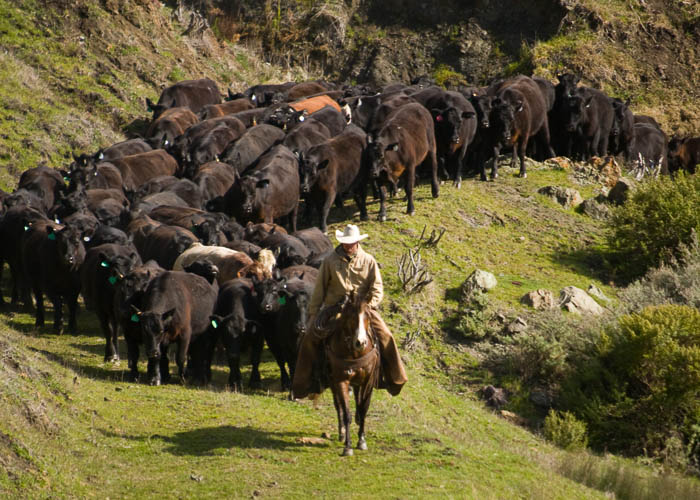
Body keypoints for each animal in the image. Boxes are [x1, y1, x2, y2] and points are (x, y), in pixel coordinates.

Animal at [318, 292, 380, 458]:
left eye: (368, 316)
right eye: (351, 317)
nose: (360, 343)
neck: (354, 354)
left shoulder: (368, 381)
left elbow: (364, 409)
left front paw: (362, 441)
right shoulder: (341, 381)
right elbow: (346, 413)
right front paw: (348, 446)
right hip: (333, 382)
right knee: (338, 404)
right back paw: (341, 433)